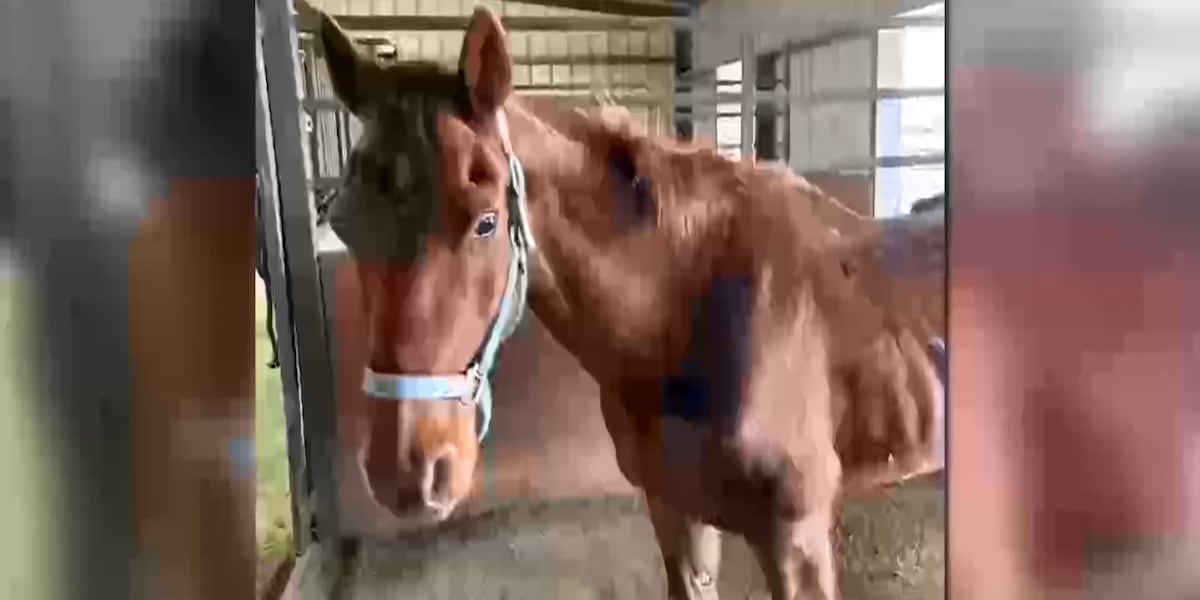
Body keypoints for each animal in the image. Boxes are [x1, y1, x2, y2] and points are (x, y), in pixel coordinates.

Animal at [316, 8, 946, 599]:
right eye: (342, 224)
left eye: (486, 221)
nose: (405, 473)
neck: (692, 311)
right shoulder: (675, 512)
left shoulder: (798, 541)